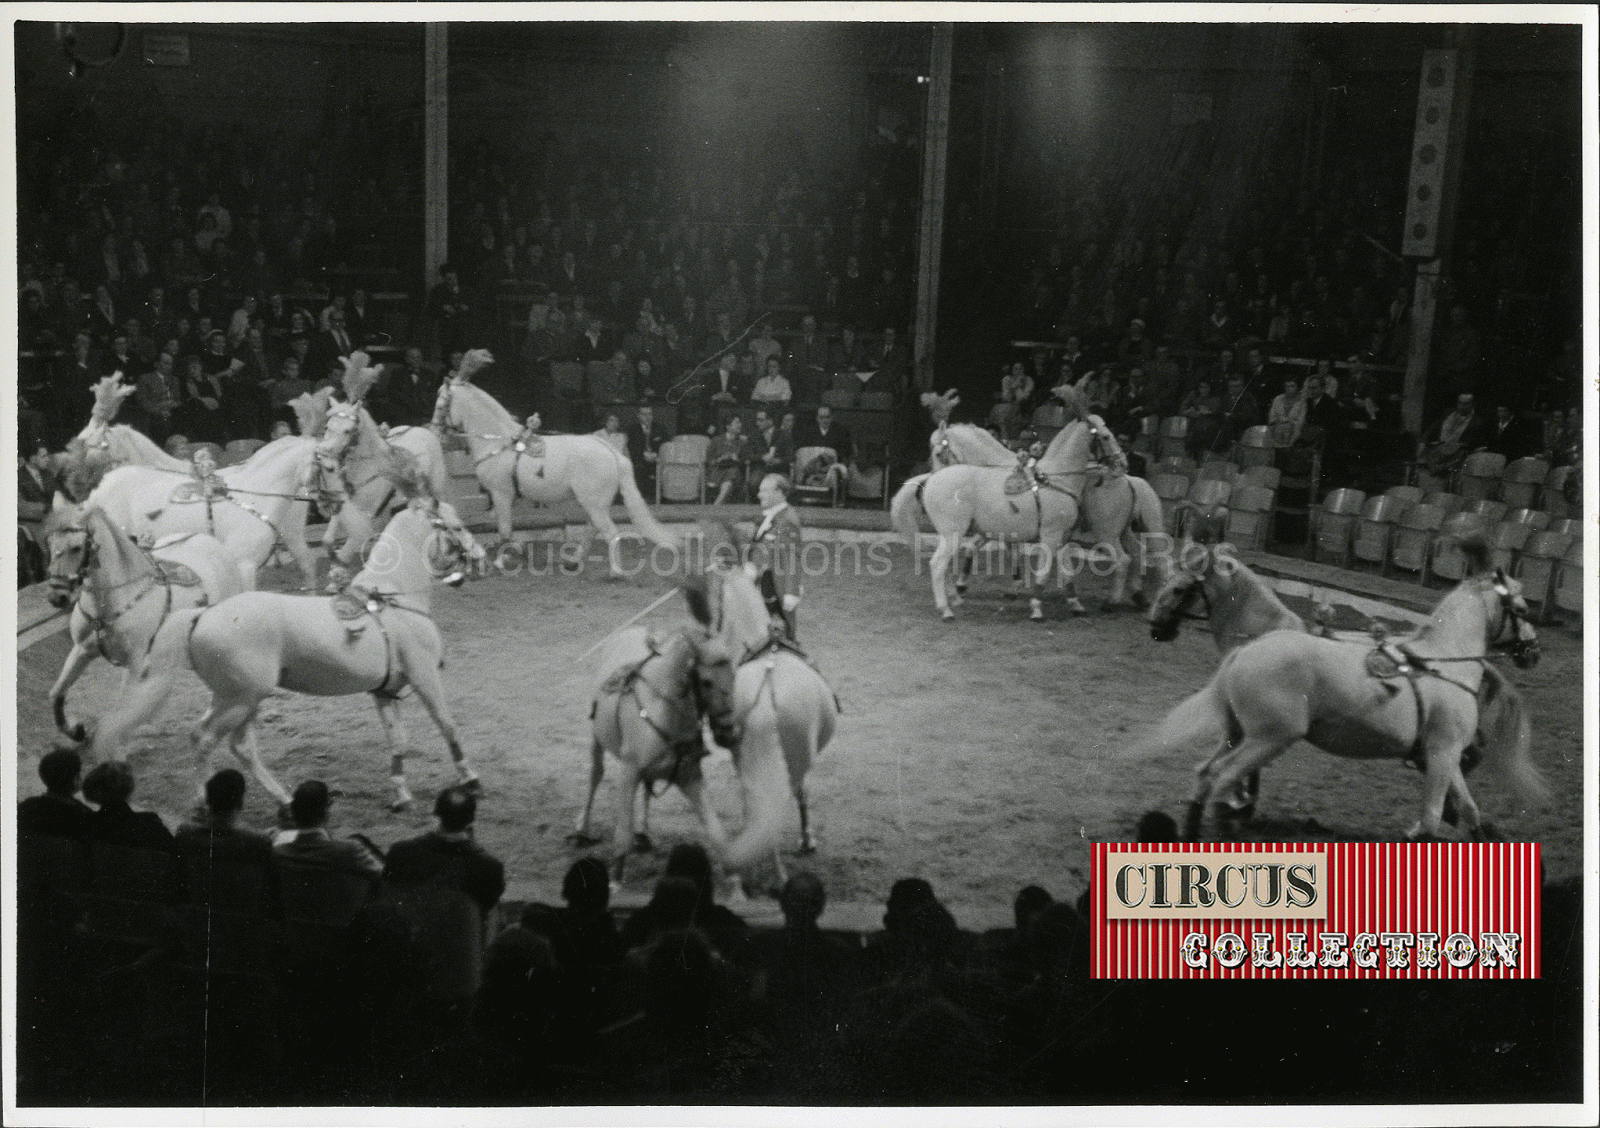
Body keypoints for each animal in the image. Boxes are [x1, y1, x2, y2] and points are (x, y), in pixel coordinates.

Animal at [43, 496, 246, 742]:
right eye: (50, 544)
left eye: (76, 547)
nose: (57, 596)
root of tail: (211, 541)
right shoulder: (82, 649)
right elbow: (57, 692)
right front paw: (75, 731)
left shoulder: (136, 661)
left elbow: (121, 710)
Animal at [89, 499, 480, 809]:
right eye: (458, 527)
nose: (480, 559)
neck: (394, 597)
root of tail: (202, 616)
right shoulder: (424, 676)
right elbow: (447, 724)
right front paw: (470, 779)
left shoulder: (385, 691)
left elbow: (398, 740)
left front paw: (400, 794)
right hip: (242, 698)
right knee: (206, 739)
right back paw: (205, 801)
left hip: (235, 698)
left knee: (237, 746)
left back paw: (284, 798)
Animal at [428, 347, 672, 576]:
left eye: (440, 401)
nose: (434, 429)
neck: (498, 442)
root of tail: (611, 452)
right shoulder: (507, 497)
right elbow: (501, 526)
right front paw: (511, 554)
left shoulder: (501, 493)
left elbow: (504, 530)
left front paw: (503, 559)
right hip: (593, 502)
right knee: (592, 528)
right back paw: (573, 561)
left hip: (594, 501)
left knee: (610, 532)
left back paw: (615, 572)